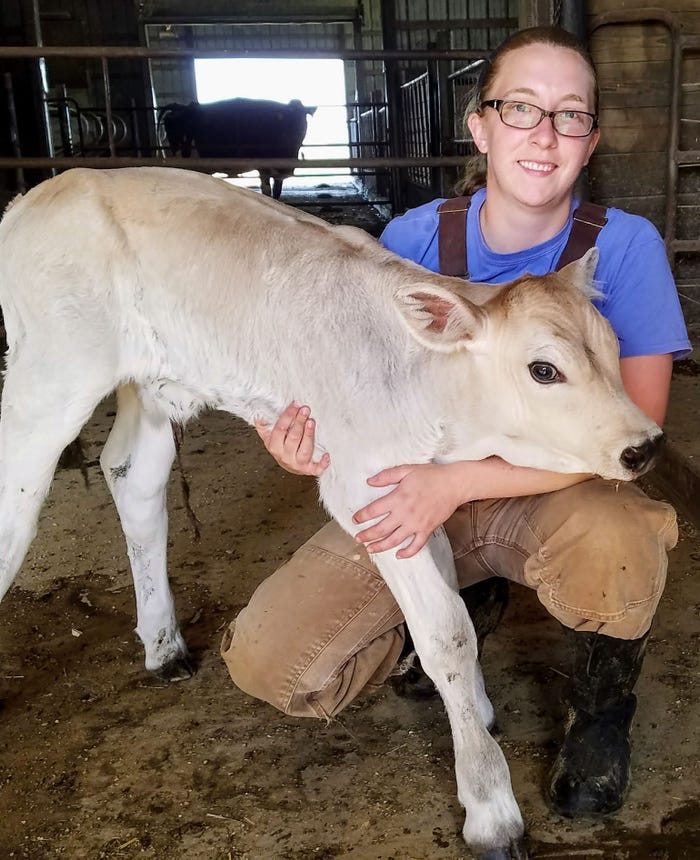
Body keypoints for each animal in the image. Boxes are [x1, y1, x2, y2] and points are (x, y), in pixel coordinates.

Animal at [0, 168, 660, 860]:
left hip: (149, 384)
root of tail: (51, 188)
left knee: (131, 473)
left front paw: (476, 713)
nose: (644, 446)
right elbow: (446, 634)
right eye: (543, 369)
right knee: (17, 508)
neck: (439, 405)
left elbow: (453, 600)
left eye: (615, 346)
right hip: (51, 372)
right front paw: (490, 807)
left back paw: (164, 647)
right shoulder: (364, 490)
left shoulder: (415, 499)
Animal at [160, 97, 316, 198]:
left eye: (303, 125)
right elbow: (267, 190)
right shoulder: (265, 166)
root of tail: (182, 107)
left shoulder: (280, 171)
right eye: (282, 120)